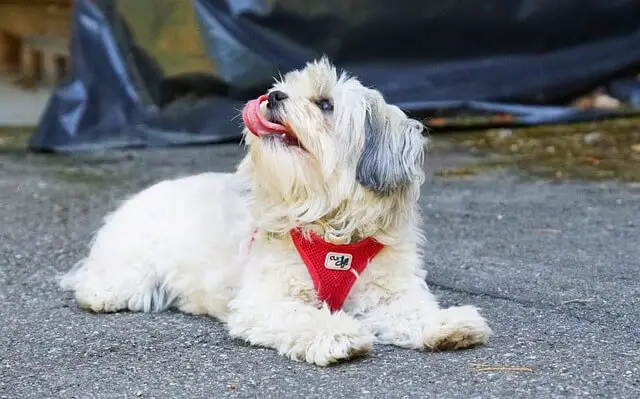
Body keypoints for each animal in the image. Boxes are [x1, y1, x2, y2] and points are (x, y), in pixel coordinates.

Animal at [58, 57, 490, 368]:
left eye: (325, 104)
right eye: (284, 89)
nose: (275, 96)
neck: (330, 226)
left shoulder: (388, 294)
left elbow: (412, 312)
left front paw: (447, 324)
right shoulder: (266, 302)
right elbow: (304, 316)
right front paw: (337, 334)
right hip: (130, 269)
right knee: (101, 285)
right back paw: (102, 295)